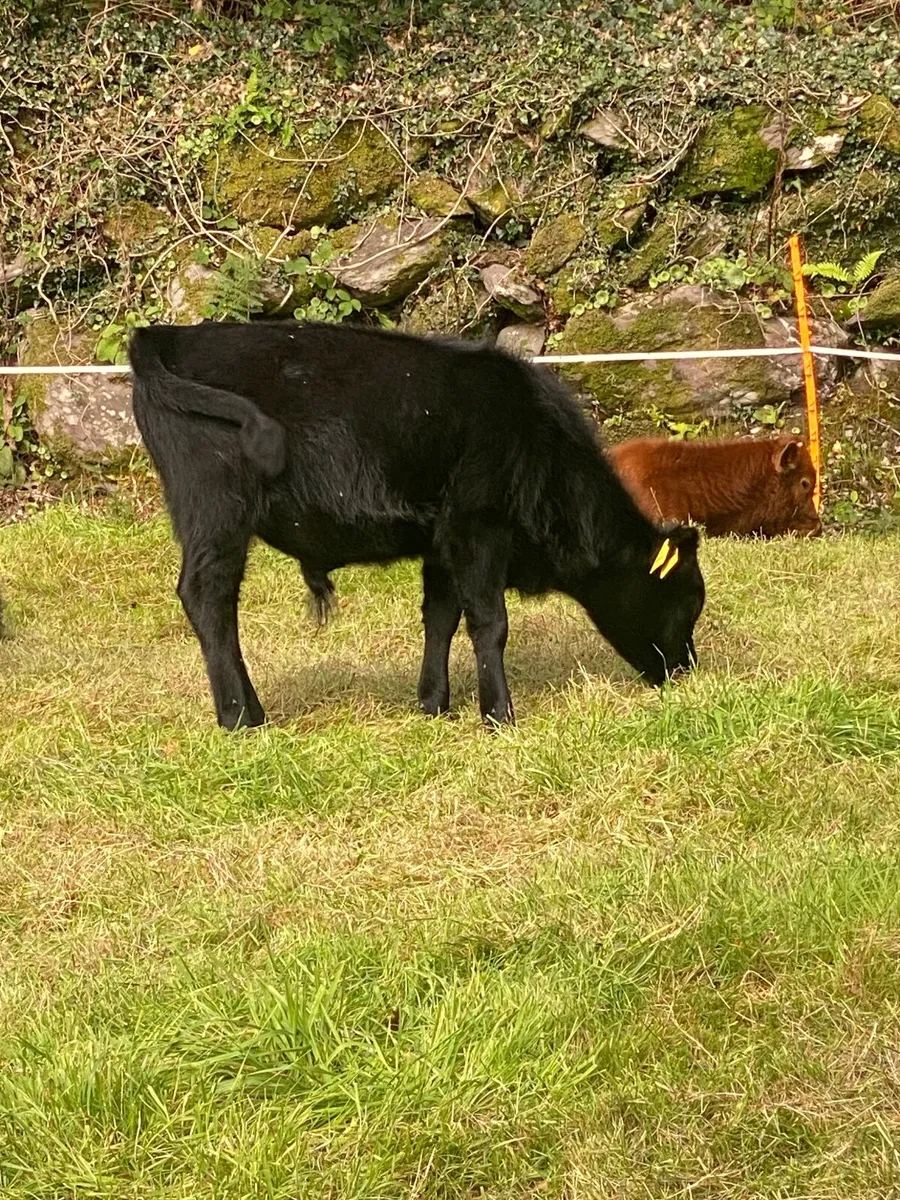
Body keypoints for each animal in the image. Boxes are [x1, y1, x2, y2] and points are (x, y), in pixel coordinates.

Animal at [128, 321, 707, 730]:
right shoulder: (479, 524)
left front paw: (433, 703)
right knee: (208, 597)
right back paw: (241, 716)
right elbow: (490, 622)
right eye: (687, 601)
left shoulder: (442, 539)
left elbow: (441, 617)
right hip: (216, 508)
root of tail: (165, 333)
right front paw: (499, 715)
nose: (686, 672)